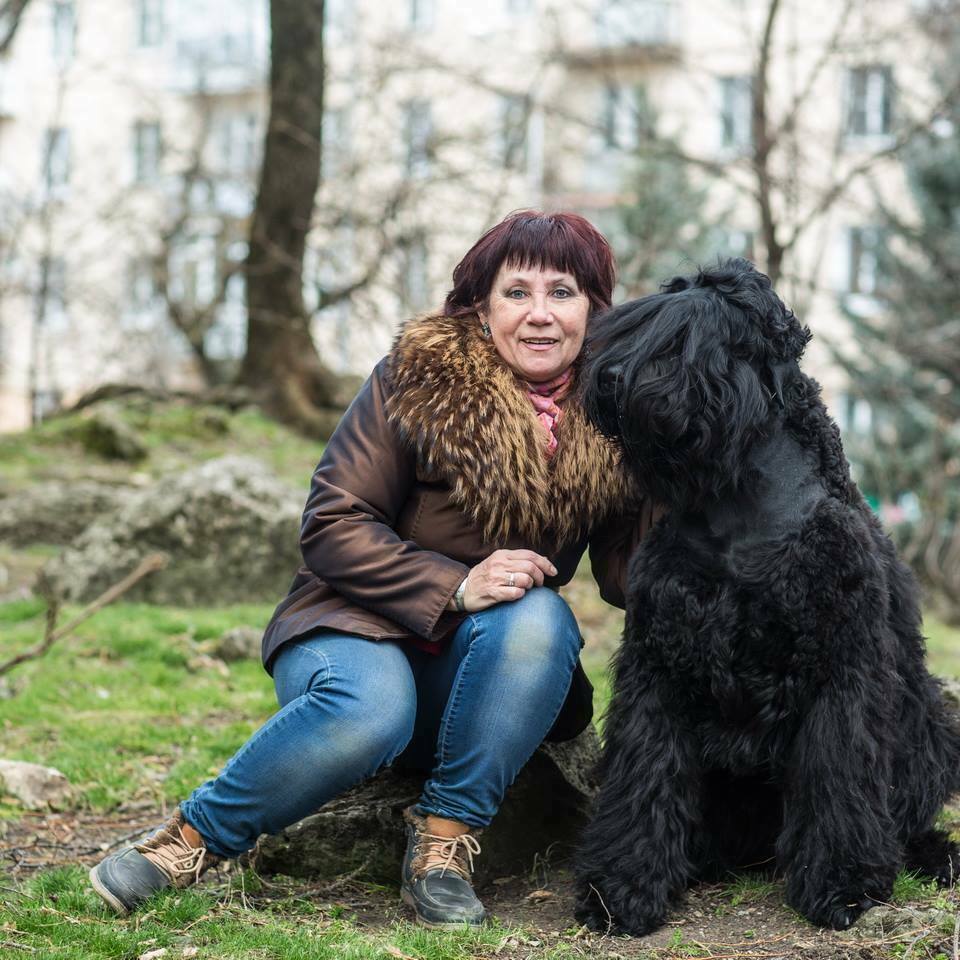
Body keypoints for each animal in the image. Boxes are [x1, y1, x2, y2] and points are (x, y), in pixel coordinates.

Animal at [574, 258, 960, 934]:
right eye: (633, 325)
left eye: (690, 337)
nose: (613, 378)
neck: (738, 506)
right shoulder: (657, 662)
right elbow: (644, 772)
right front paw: (620, 885)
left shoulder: (842, 667)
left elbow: (838, 772)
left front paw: (841, 882)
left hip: (930, 730)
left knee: (909, 810)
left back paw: (930, 854)